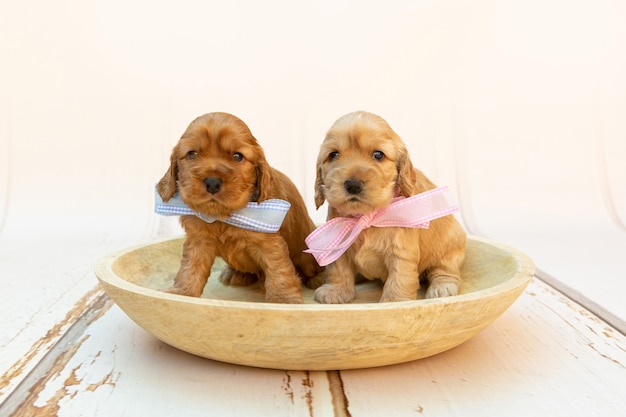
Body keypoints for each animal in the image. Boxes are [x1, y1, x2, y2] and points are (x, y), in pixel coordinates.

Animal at [156, 112, 322, 304]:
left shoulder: (270, 244)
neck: (225, 216)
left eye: (237, 156)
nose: (212, 182)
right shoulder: (199, 241)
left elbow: (279, 270)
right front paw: (182, 292)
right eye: (192, 154)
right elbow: (190, 267)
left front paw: (283, 299)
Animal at [310, 110, 464, 302]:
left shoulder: (401, 251)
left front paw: (394, 301)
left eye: (378, 155)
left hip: (450, 247)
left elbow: (399, 278)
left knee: (445, 270)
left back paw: (442, 287)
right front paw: (336, 290)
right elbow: (338, 268)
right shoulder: (337, 243)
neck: (365, 218)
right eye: (333, 155)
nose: (353, 185)